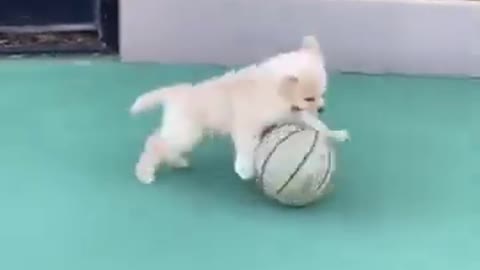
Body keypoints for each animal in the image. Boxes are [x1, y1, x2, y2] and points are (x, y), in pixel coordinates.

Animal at [131, 35, 348, 184]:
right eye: (308, 98)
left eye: (322, 93)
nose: (322, 108)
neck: (274, 90)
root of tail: (176, 92)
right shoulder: (247, 125)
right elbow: (247, 147)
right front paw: (244, 169)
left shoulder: (292, 114)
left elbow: (317, 125)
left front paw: (335, 133)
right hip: (187, 134)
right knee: (155, 143)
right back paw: (144, 173)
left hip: (187, 132)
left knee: (161, 141)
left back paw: (176, 161)